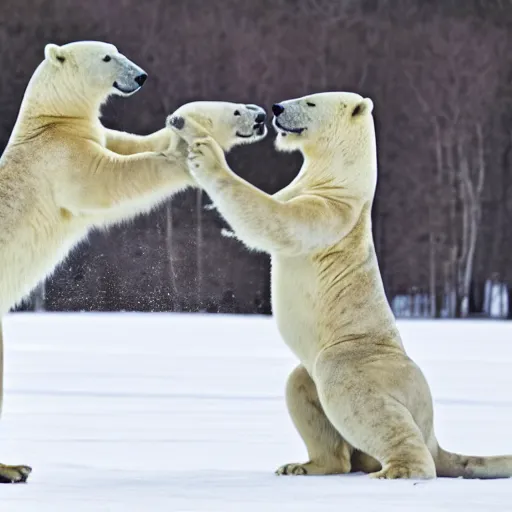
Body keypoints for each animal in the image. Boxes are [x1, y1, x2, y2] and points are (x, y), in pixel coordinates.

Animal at [0, 38, 270, 482]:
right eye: (107, 56)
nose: (141, 76)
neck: (49, 121)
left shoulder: (94, 135)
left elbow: (135, 142)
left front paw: (191, 126)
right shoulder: (60, 161)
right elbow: (111, 177)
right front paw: (186, 152)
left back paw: (15, 466)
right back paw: (12, 469)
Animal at [169, 92, 512, 480]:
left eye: (310, 102)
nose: (276, 108)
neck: (341, 181)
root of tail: (432, 431)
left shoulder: (330, 213)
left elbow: (274, 219)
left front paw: (206, 156)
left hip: (357, 359)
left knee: (354, 394)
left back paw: (396, 470)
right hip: (316, 371)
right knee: (302, 386)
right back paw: (302, 466)